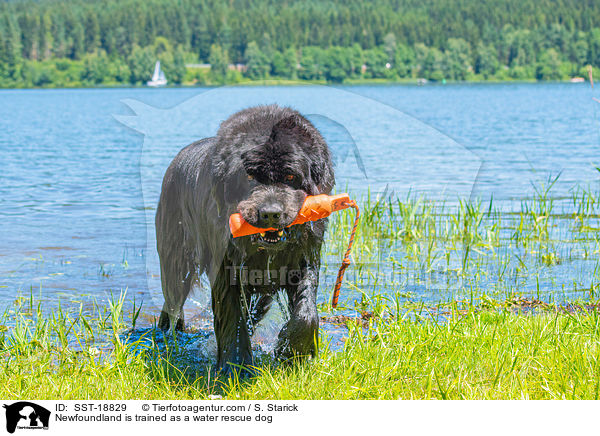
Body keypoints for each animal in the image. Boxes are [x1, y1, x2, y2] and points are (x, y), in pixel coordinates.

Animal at [156, 104, 332, 372]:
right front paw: (235, 366)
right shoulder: (226, 267)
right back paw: (168, 329)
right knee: (173, 297)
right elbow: (232, 316)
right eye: (249, 177)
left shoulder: (305, 255)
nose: (270, 213)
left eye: (290, 177)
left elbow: (306, 309)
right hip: (175, 254)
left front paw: (290, 350)